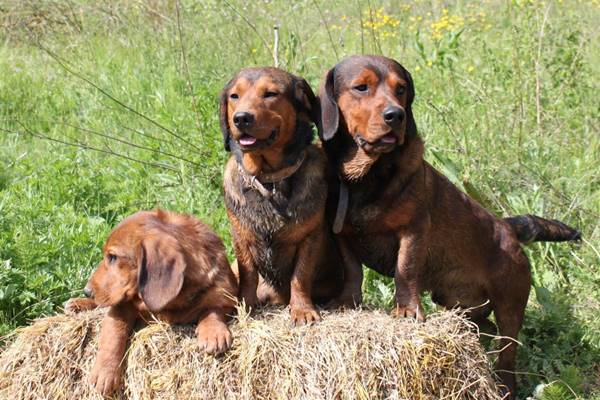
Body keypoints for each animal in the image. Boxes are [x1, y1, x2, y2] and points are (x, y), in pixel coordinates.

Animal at [63, 211, 237, 396]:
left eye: (113, 257)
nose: (87, 291)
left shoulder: (226, 296)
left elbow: (212, 309)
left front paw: (213, 332)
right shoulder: (121, 306)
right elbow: (113, 334)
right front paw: (105, 372)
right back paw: (77, 304)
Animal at [220, 67, 344, 324]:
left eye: (270, 94)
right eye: (234, 96)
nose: (241, 118)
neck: (269, 179)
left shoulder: (310, 238)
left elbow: (300, 276)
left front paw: (302, 309)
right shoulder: (241, 239)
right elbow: (248, 276)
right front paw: (246, 308)